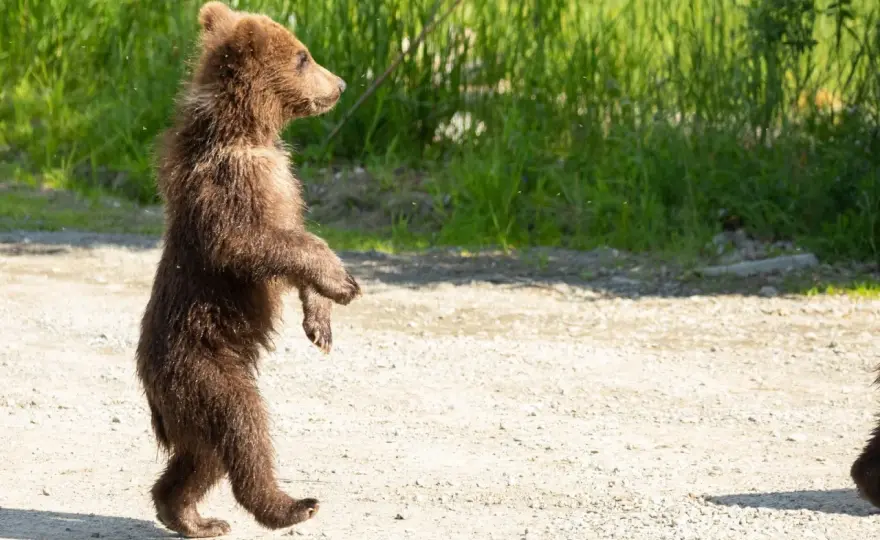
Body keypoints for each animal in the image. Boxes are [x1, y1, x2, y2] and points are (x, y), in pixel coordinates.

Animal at [135, 2, 360, 537]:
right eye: (304, 56)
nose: (341, 83)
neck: (243, 129)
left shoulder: (283, 187)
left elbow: (291, 240)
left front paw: (320, 323)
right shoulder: (228, 187)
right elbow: (253, 244)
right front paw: (343, 282)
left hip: (197, 389)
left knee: (202, 457)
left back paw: (191, 515)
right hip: (203, 367)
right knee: (243, 427)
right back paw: (292, 504)